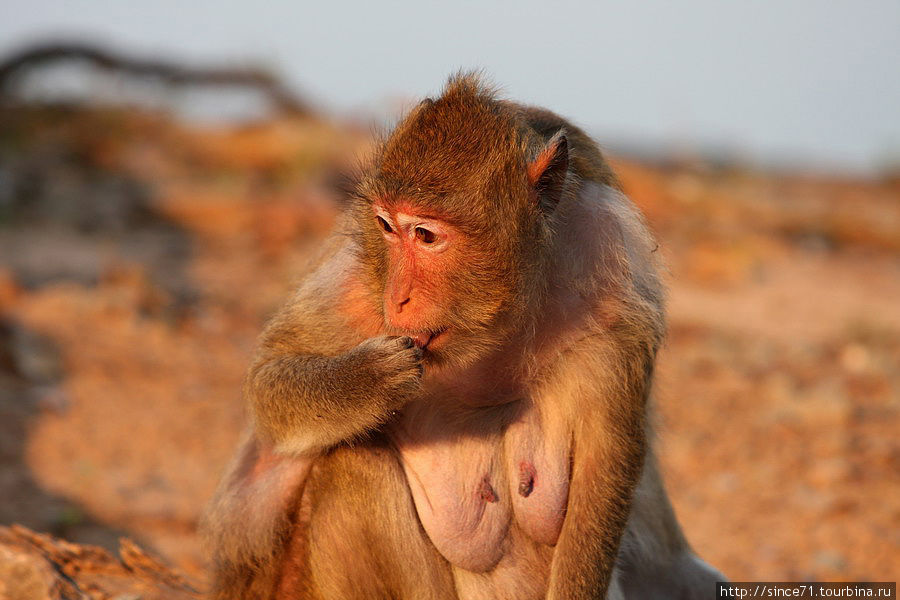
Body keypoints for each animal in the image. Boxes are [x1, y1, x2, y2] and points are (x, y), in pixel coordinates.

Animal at [204, 72, 724, 596]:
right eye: (387, 226)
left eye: (426, 236)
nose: (397, 298)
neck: (499, 322)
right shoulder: (357, 283)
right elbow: (268, 385)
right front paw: (365, 382)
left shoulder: (614, 274)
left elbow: (606, 460)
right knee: (352, 464)